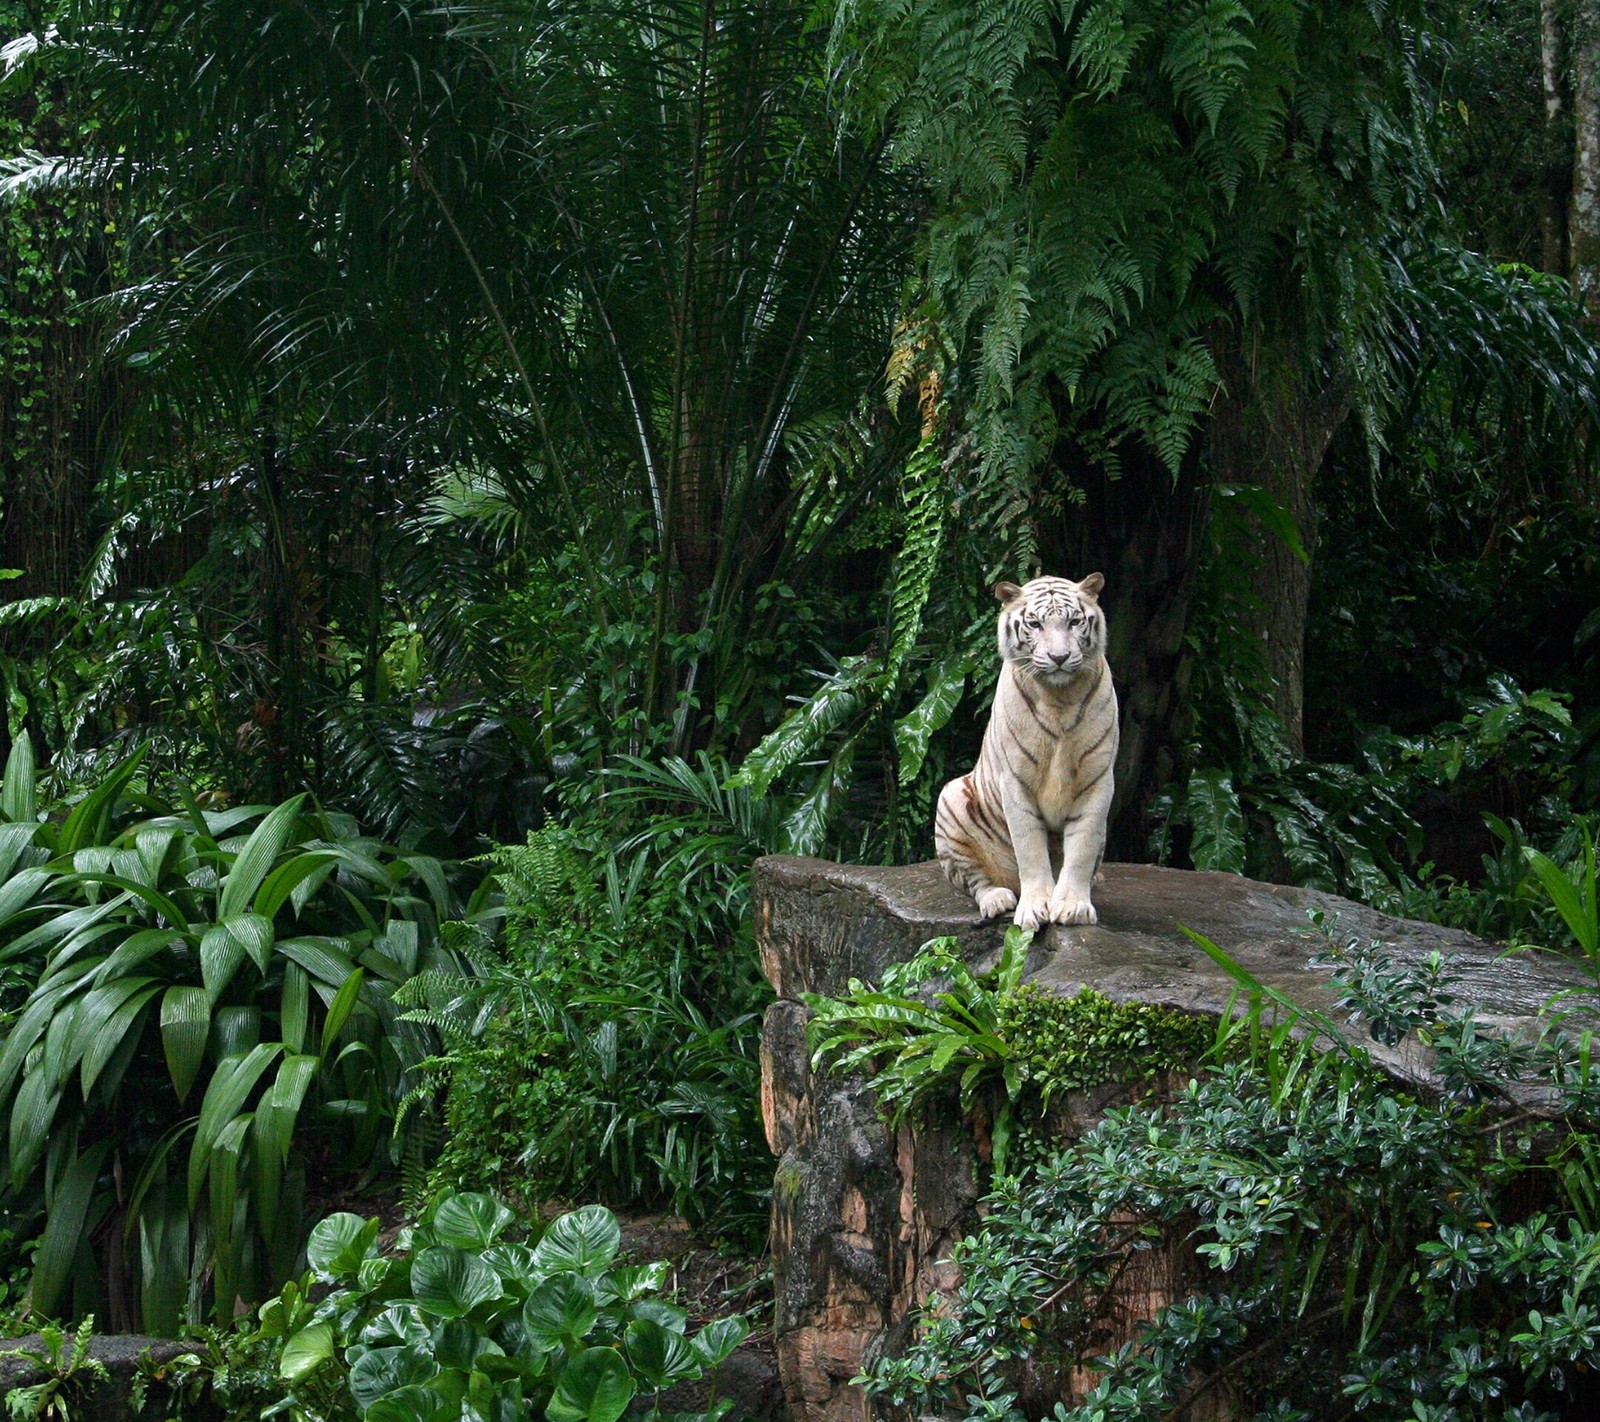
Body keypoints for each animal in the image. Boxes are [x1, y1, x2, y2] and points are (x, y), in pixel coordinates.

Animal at [934, 572, 1120, 927]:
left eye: (1074, 621)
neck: (1060, 698)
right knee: (975, 881)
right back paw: (997, 899)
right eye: (1035, 624)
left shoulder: (1097, 779)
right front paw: (1035, 907)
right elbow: (1029, 848)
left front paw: (1073, 906)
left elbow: (1082, 846)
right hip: (950, 800)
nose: (1060, 658)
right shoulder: (1015, 780)